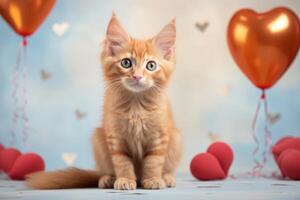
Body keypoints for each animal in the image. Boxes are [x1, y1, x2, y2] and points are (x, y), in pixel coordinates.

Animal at [26, 13, 180, 189]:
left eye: (151, 65)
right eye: (126, 63)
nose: (137, 76)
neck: (136, 106)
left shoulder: (159, 136)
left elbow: (154, 162)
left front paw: (153, 179)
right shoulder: (115, 137)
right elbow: (122, 162)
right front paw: (125, 179)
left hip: (176, 138)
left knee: (166, 167)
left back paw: (166, 177)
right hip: (98, 137)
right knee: (107, 169)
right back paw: (108, 178)